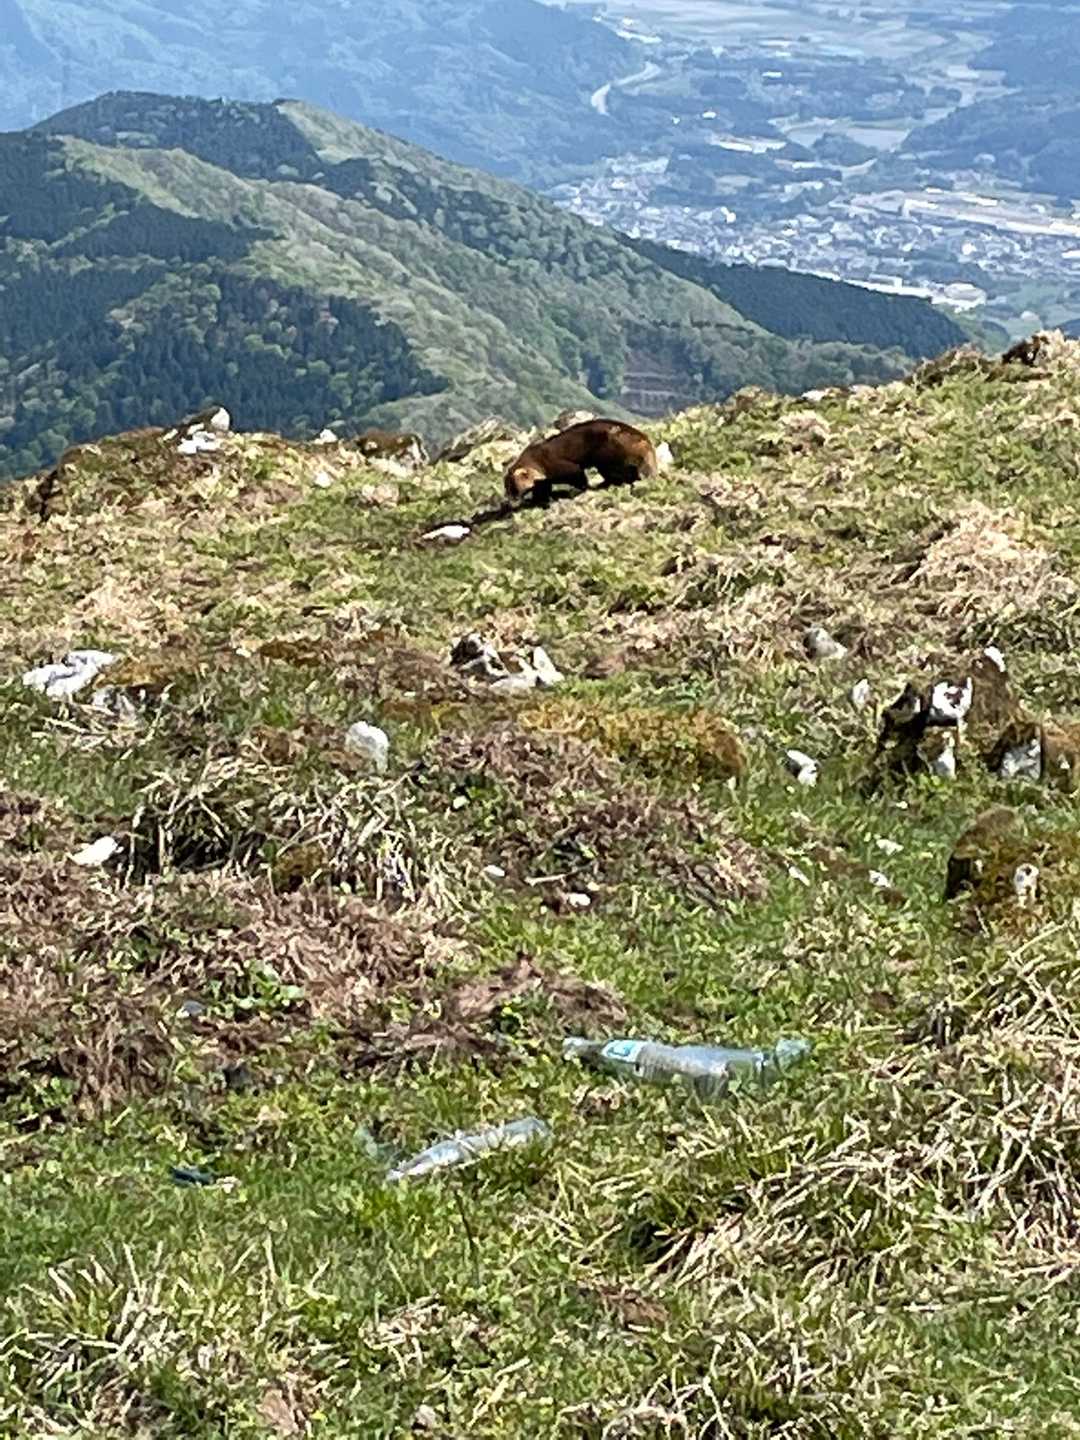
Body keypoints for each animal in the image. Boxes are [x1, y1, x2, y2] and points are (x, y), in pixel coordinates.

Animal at [503, 418, 658, 506]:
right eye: (507, 487)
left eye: (513, 488)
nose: (510, 502)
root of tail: (644, 440)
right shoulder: (542, 478)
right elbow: (542, 488)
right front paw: (538, 499)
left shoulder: (554, 463)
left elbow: (575, 472)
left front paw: (583, 487)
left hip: (609, 449)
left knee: (616, 471)